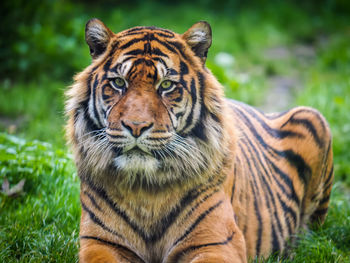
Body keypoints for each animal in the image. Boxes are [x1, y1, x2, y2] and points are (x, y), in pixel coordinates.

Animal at [65, 19, 334, 263]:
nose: (136, 126)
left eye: (166, 85)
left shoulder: (215, 243)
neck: (146, 190)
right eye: (119, 82)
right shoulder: (100, 242)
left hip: (313, 117)